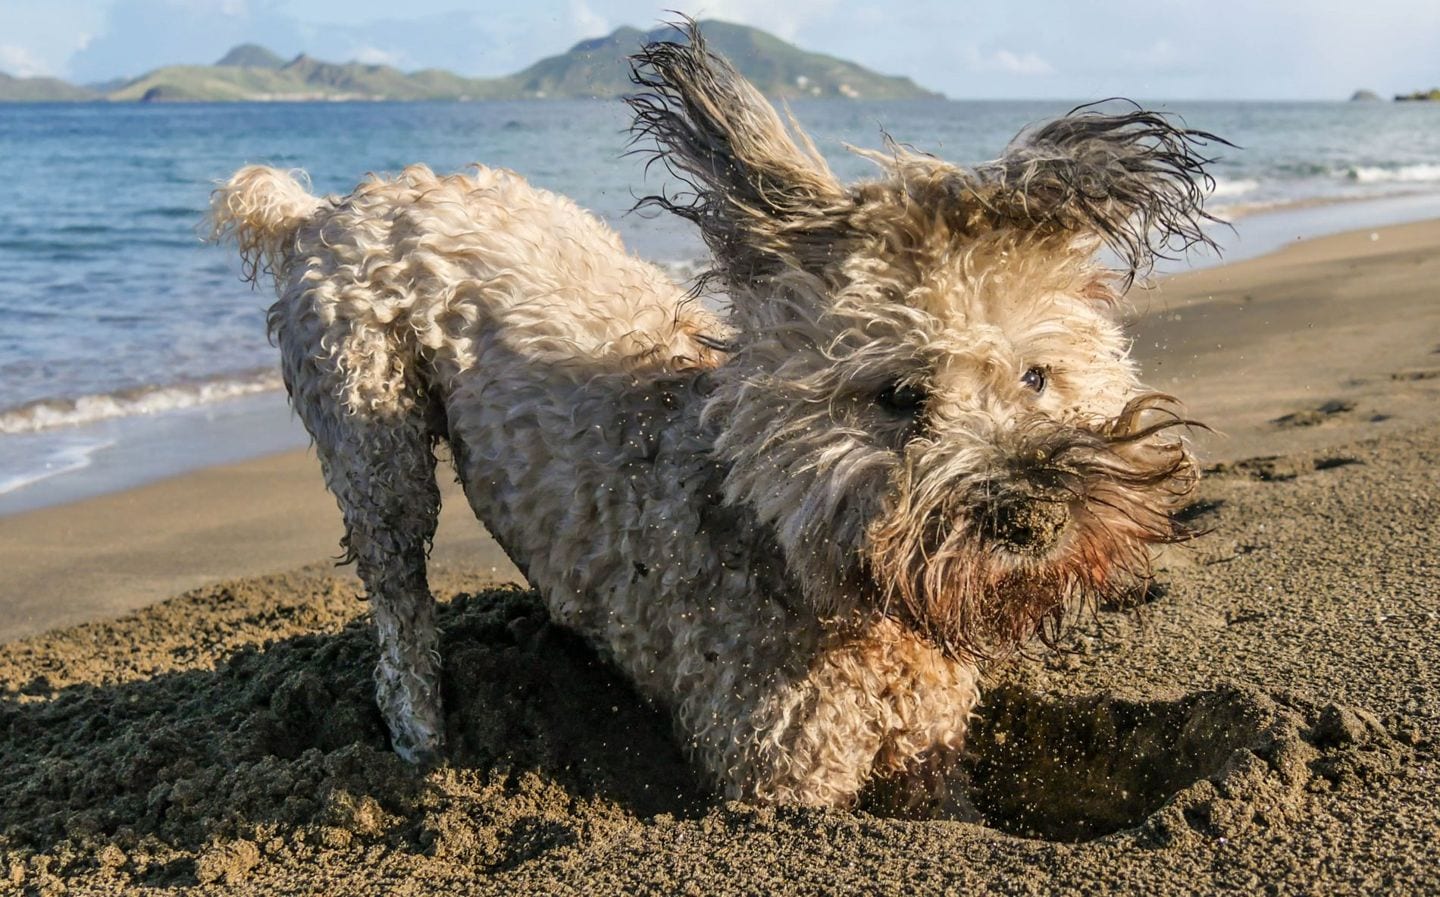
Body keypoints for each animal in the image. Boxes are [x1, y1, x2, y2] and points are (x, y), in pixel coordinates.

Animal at [205, 26, 1215, 812]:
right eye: (898, 395)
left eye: (1037, 376)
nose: (1032, 516)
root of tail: (332, 206)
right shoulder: (785, 777)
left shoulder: (928, 756)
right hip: (371, 438)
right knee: (399, 607)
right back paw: (423, 738)